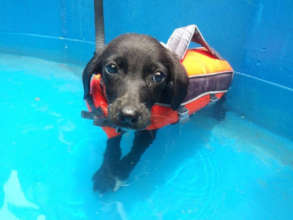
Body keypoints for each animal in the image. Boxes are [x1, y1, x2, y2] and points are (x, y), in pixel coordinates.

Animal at [82, 33, 187, 192]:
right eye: (111, 68)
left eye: (158, 76)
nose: (128, 115)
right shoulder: (113, 124)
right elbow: (112, 148)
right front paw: (105, 175)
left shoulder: (148, 131)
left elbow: (136, 152)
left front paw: (121, 170)